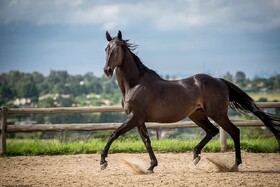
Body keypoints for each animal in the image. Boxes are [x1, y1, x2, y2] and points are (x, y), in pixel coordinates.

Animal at [101, 30, 280, 172]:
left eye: (118, 48)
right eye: (106, 49)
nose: (107, 70)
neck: (135, 84)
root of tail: (220, 80)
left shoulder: (135, 118)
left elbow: (114, 134)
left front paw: (103, 162)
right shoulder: (139, 120)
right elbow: (147, 141)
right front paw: (151, 166)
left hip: (217, 114)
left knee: (234, 131)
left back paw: (234, 165)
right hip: (197, 115)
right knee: (212, 131)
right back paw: (196, 156)